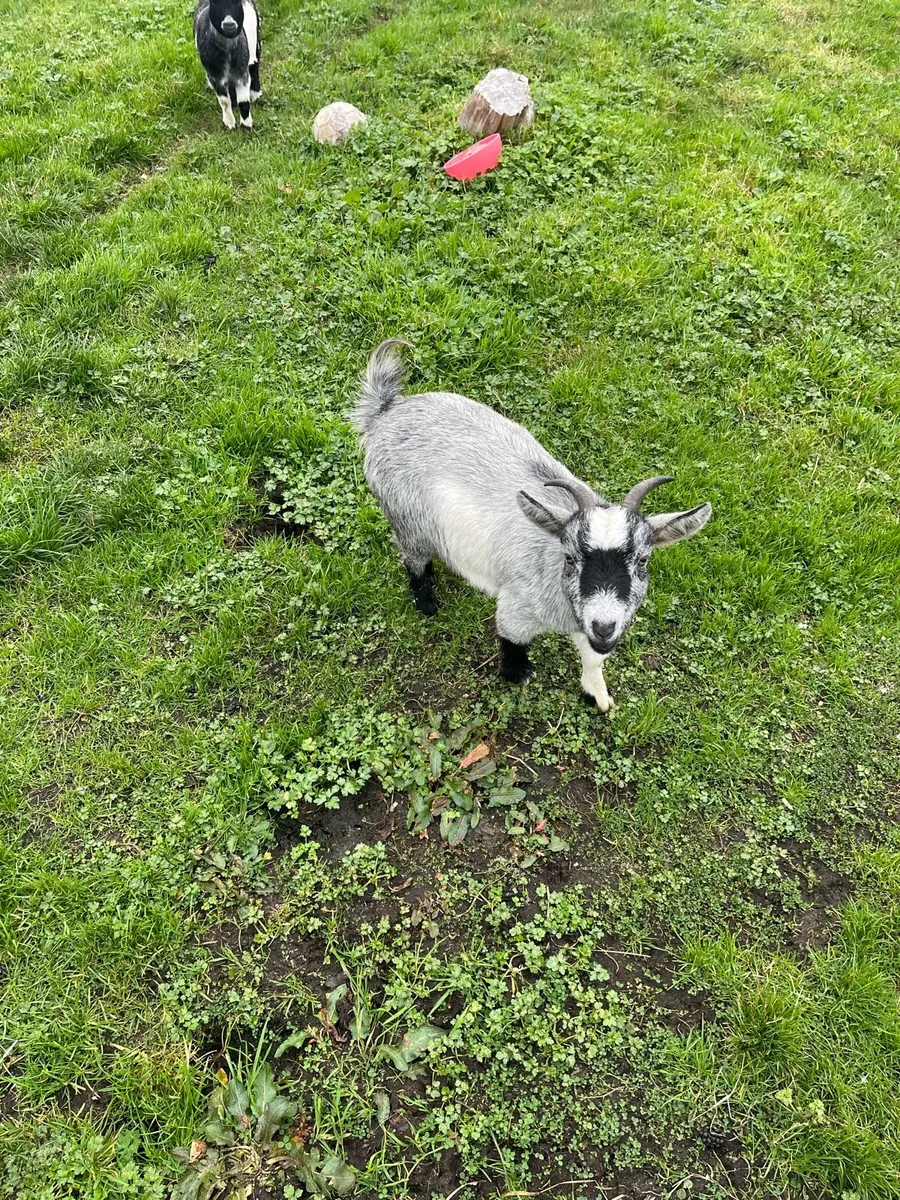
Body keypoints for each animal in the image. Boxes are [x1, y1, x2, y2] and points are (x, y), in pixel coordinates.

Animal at [194, 0, 261, 130]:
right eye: (214, 3)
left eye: (238, 2)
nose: (229, 24)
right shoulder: (214, 76)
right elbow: (224, 101)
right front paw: (229, 123)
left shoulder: (242, 73)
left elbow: (244, 102)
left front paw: (246, 126)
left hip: (255, 42)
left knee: (254, 64)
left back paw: (256, 93)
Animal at [352, 340, 712, 710]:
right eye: (570, 557)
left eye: (642, 560)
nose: (604, 626)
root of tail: (386, 411)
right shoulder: (518, 606)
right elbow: (511, 637)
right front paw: (516, 673)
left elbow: (593, 657)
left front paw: (597, 694)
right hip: (408, 520)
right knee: (414, 559)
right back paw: (426, 604)